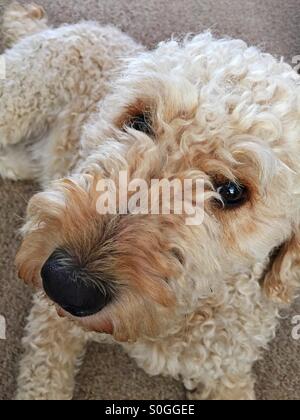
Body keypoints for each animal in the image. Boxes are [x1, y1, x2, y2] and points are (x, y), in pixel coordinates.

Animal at [1, 0, 300, 400]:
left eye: (232, 192)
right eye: (140, 121)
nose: (66, 283)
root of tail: (82, 28)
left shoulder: (226, 368)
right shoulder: (52, 320)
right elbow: (43, 379)